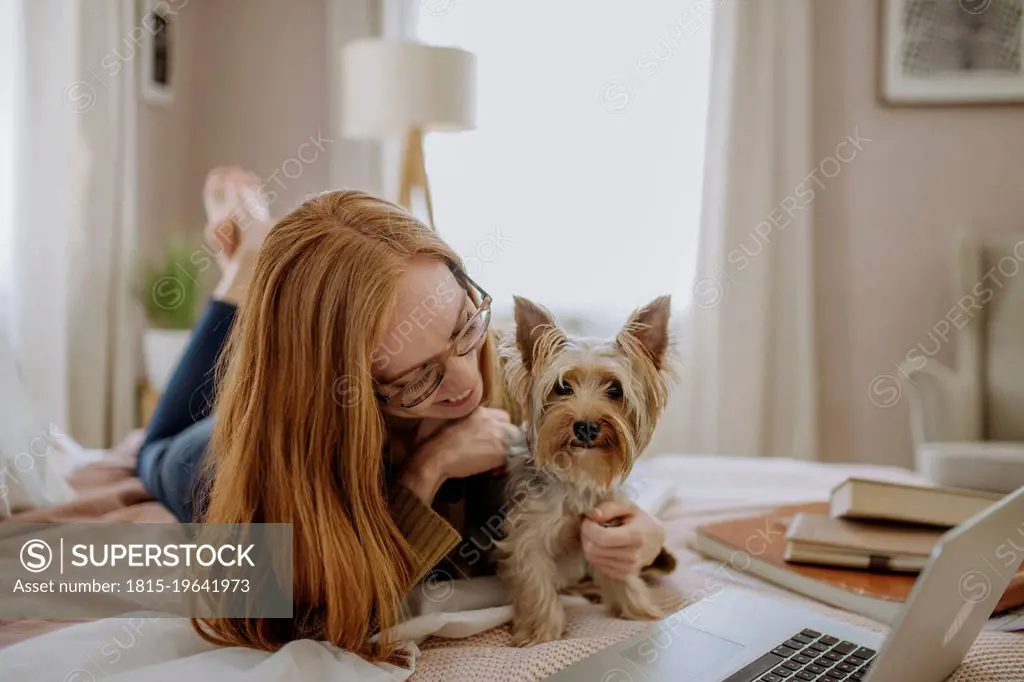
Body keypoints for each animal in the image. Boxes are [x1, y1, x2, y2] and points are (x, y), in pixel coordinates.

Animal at [497, 292, 675, 643]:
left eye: (615, 390)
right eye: (562, 387)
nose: (587, 426)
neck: (579, 473)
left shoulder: (609, 525)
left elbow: (620, 571)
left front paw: (637, 609)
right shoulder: (528, 532)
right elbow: (535, 580)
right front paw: (540, 632)